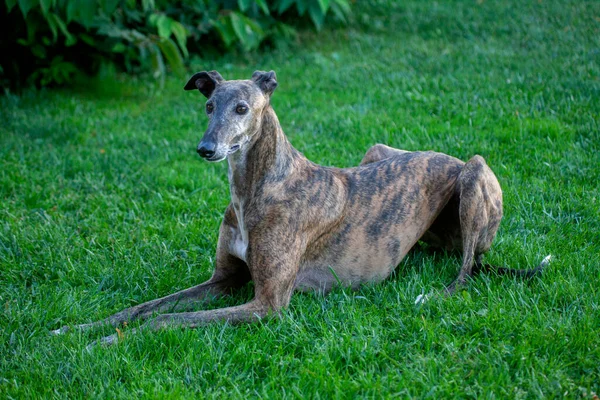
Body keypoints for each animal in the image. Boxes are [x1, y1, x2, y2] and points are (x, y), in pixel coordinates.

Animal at [52, 70, 548, 346]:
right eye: (208, 105)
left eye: (242, 107)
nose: (206, 149)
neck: (256, 190)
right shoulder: (223, 281)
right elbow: (144, 308)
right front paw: (76, 330)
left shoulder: (268, 304)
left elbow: (165, 320)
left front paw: (105, 345)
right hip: (375, 150)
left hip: (473, 173)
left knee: (467, 271)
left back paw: (433, 294)